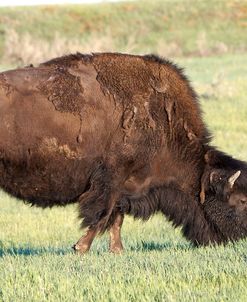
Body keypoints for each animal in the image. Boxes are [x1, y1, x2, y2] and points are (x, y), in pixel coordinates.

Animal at [0, 52, 247, 252]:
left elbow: (116, 218)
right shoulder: (110, 179)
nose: (242, 239)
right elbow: (102, 214)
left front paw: (117, 250)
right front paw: (81, 247)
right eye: (243, 200)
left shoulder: (123, 187)